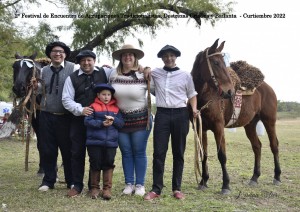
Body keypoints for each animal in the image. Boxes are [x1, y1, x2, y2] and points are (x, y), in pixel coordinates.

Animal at [191, 39, 280, 195]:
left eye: (223, 62)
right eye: (215, 62)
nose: (229, 91)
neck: (205, 96)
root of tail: (267, 87)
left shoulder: (218, 128)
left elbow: (222, 155)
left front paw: (226, 185)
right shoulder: (201, 128)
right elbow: (204, 154)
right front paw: (203, 181)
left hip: (269, 121)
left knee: (274, 145)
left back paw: (277, 176)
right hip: (250, 124)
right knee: (257, 146)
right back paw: (254, 177)